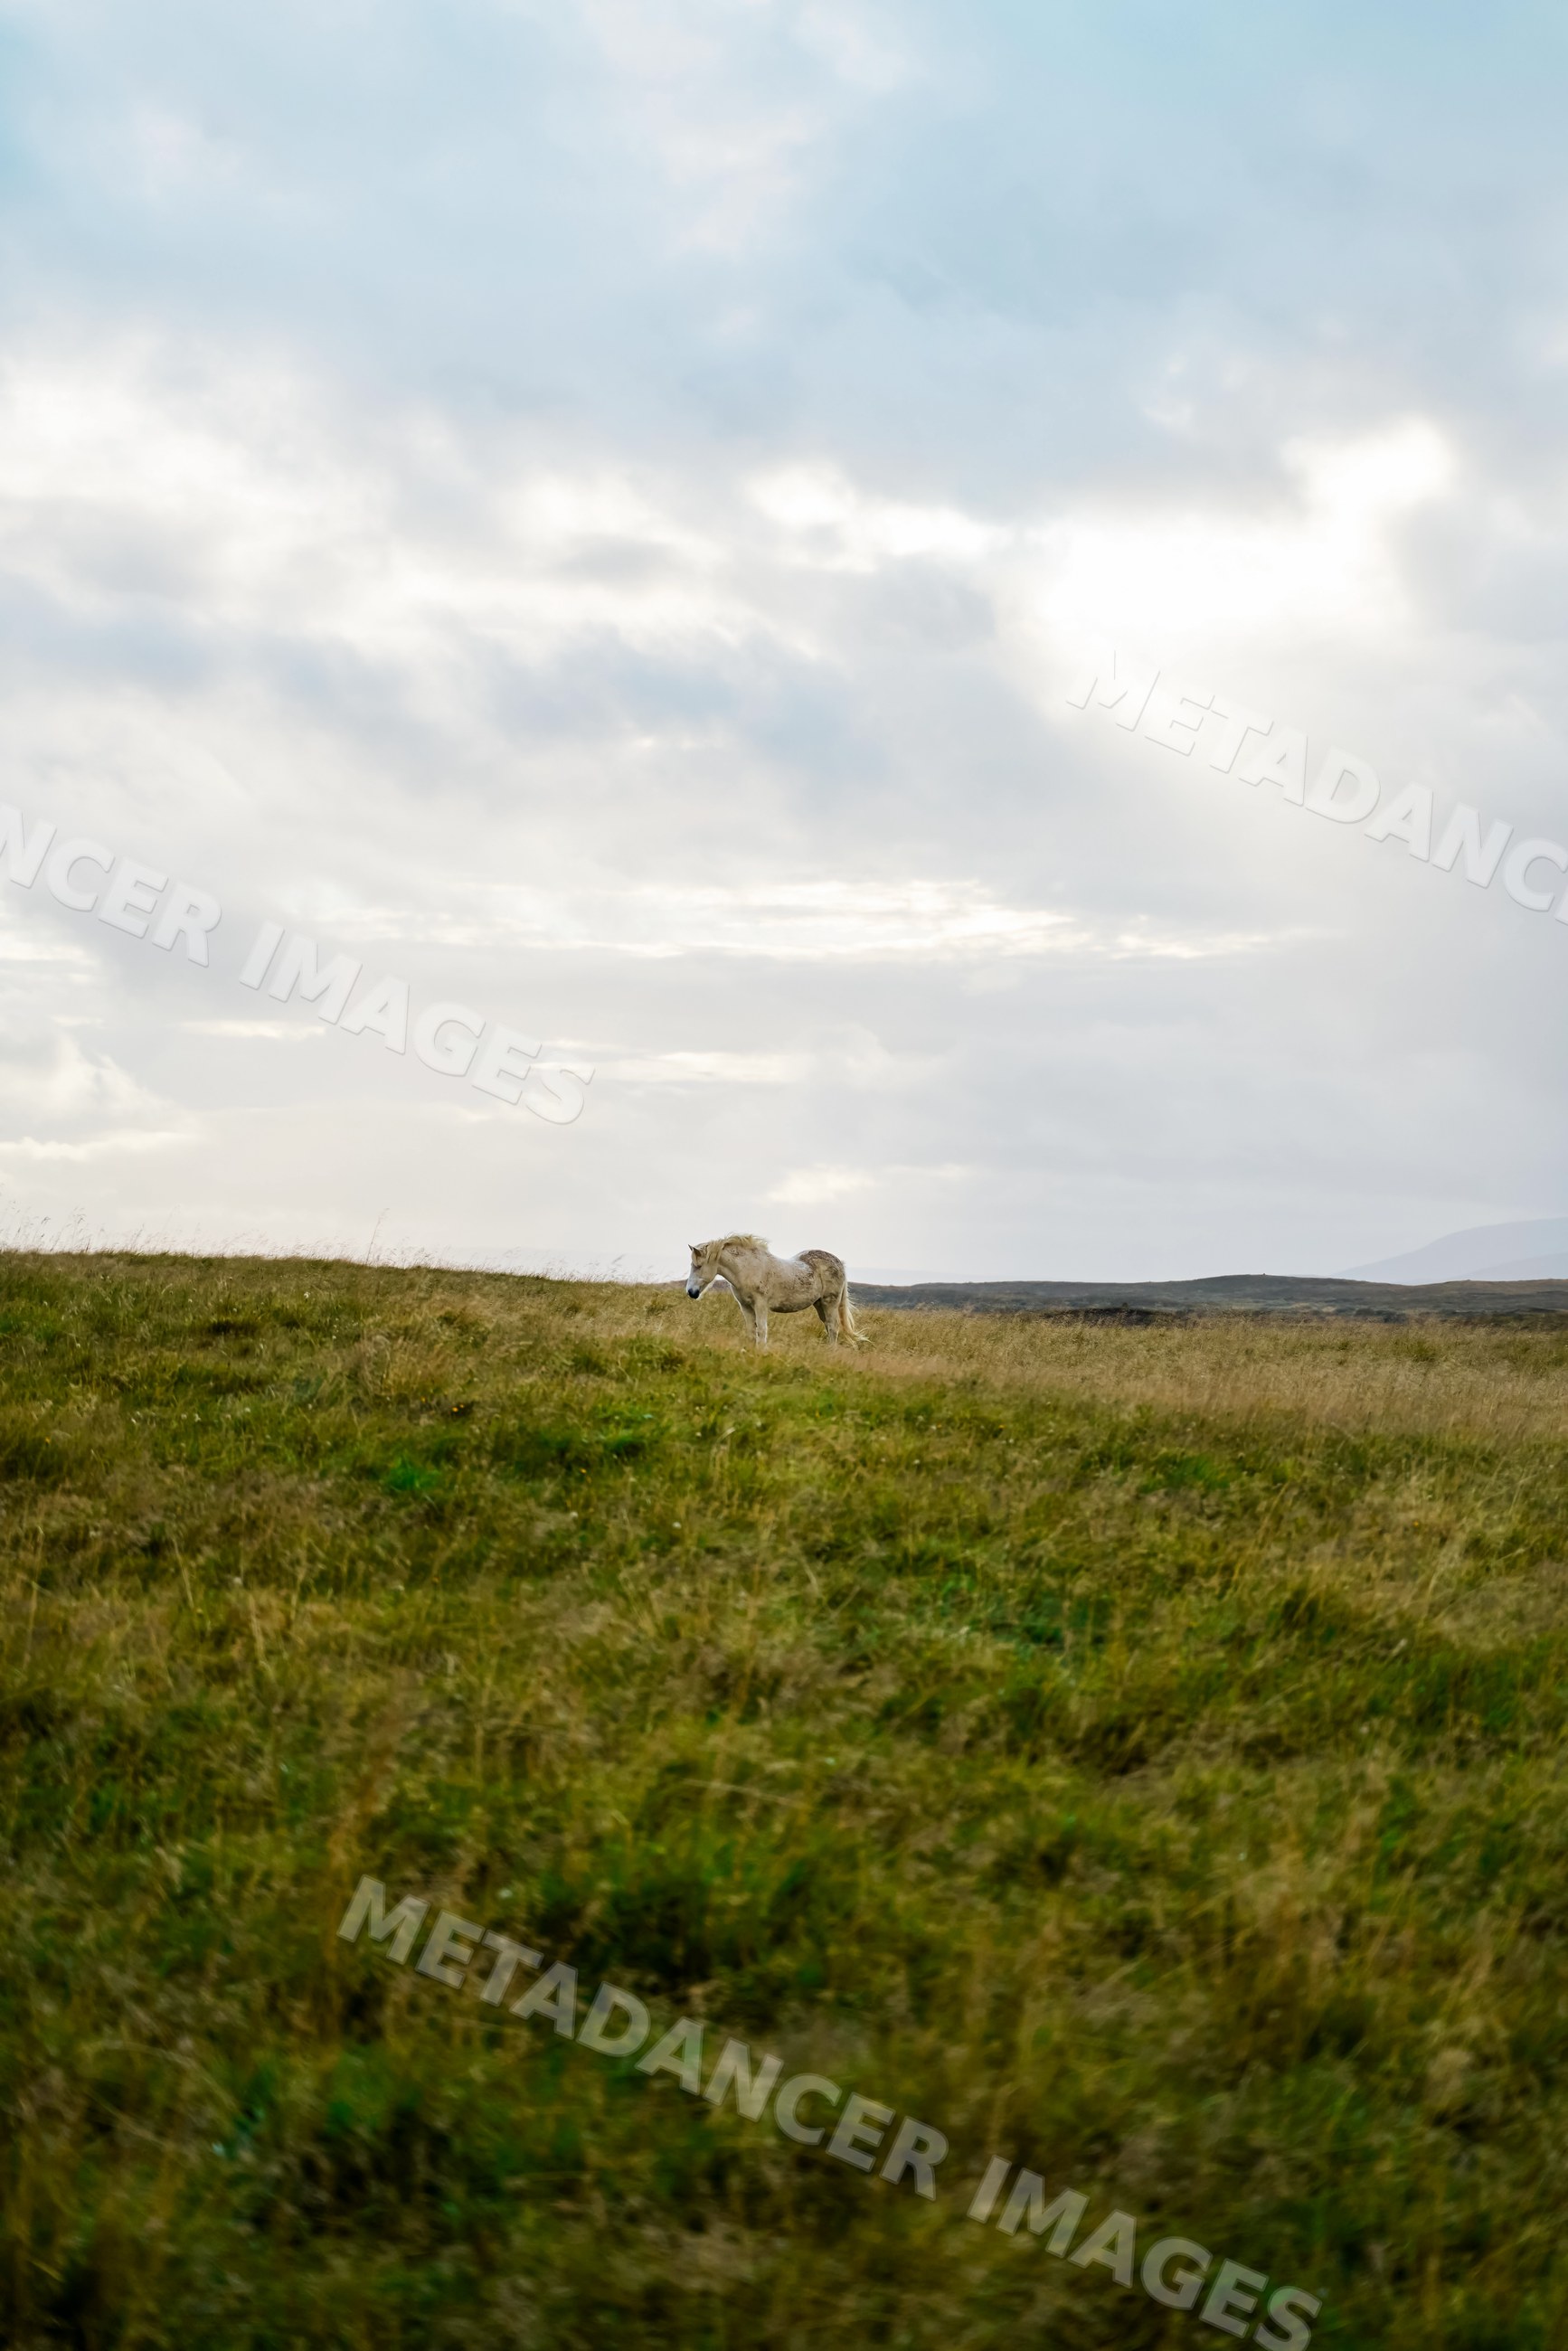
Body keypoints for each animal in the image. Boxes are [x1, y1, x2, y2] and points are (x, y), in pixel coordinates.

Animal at [686, 1234, 868, 1349]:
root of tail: (839, 1262)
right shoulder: (745, 1306)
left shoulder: (760, 1305)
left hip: (830, 1303)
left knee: (833, 1327)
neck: (747, 1269)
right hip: (819, 1305)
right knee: (829, 1328)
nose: (691, 1292)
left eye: (699, 1266)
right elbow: (751, 1332)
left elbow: (761, 1330)